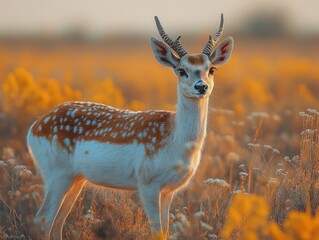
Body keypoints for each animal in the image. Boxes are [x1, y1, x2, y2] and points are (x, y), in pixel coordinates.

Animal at [27, 14, 234, 239]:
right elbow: (157, 230)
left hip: (76, 180)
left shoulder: (169, 190)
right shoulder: (148, 184)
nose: (201, 86)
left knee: (58, 222)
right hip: (58, 176)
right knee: (43, 219)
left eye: (211, 69)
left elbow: (166, 229)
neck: (175, 140)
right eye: (181, 70)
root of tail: (35, 127)